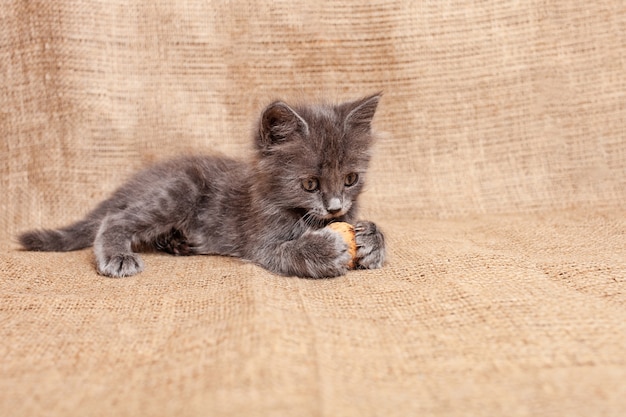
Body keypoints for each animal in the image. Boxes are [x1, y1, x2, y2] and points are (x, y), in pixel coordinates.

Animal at [18, 93, 386, 276]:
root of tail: (140, 179)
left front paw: (372, 238)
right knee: (115, 218)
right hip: (181, 189)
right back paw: (119, 255)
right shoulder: (259, 240)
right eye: (310, 184)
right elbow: (284, 251)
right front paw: (323, 249)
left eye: (350, 179)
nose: (335, 207)